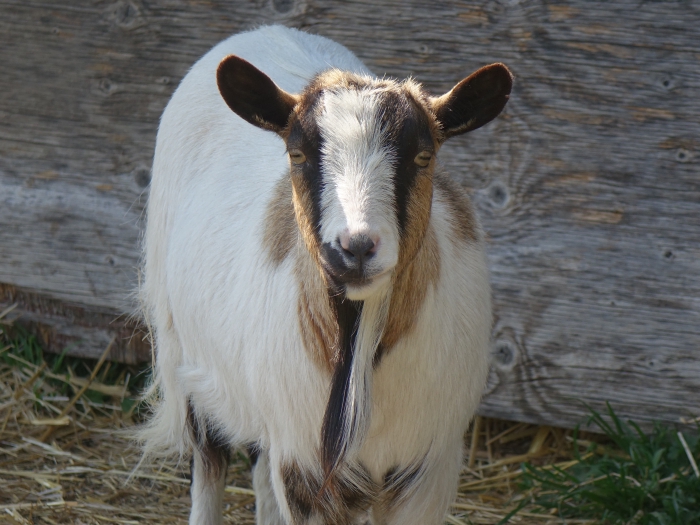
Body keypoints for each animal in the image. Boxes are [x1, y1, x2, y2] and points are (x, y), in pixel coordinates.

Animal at [139, 24, 512, 525]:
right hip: (184, 353)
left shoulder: (425, 468)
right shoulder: (309, 472)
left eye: (423, 157)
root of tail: (264, 31)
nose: (355, 247)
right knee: (209, 461)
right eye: (297, 154)